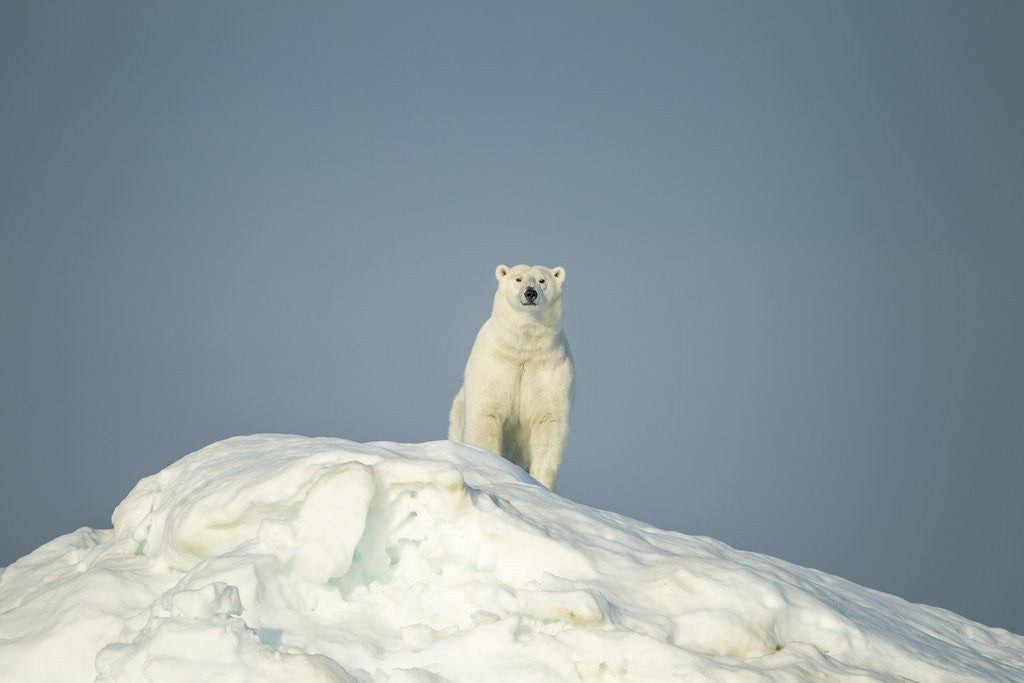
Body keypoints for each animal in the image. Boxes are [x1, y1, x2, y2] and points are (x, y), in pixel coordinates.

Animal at [448, 264, 575, 490]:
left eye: (542, 280)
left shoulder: (550, 370)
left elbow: (548, 423)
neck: (523, 349)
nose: (530, 293)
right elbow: (487, 414)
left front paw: (542, 484)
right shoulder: (495, 366)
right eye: (518, 278)